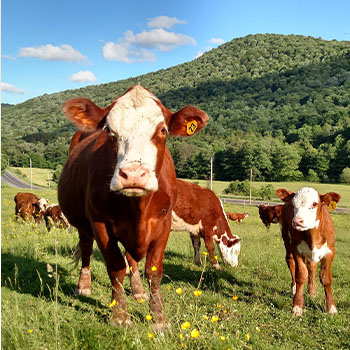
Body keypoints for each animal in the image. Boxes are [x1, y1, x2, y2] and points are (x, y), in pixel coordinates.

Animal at [57, 85, 208, 330]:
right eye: (109, 131)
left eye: (163, 129)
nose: (134, 175)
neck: (138, 208)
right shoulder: (100, 223)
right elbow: (116, 267)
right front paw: (119, 315)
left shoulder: (164, 224)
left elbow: (153, 270)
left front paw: (159, 319)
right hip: (82, 224)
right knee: (87, 249)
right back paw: (84, 284)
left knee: (132, 258)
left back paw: (138, 290)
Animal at [274, 187, 340, 316]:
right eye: (293, 204)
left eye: (314, 204)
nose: (297, 221)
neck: (313, 236)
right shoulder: (297, 250)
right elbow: (301, 275)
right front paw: (297, 306)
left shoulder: (330, 252)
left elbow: (326, 278)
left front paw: (331, 307)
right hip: (286, 240)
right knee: (290, 261)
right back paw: (294, 288)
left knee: (312, 266)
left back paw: (312, 291)